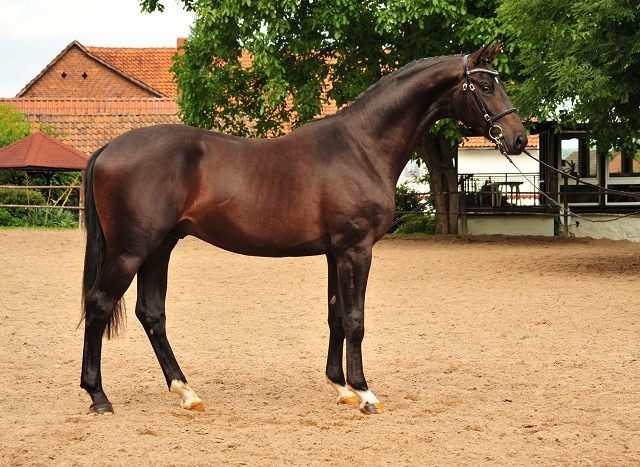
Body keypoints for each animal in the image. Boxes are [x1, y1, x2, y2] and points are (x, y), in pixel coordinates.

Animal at [80, 44, 528, 414]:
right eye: (485, 85)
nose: (519, 138)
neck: (361, 147)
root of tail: (109, 148)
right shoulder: (355, 249)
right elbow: (355, 320)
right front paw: (365, 393)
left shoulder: (335, 252)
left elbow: (336, 316)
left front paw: (341, 387)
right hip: (132, 250)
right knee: (99, 304)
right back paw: (99, 396)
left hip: (160, 246)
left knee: (151, 313)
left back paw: (186, 391)